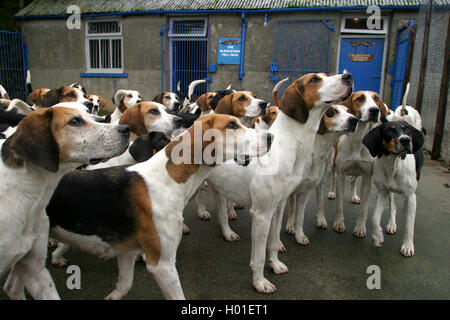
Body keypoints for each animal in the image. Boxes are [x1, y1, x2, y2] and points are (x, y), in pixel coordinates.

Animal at [0, 104, 130, 298]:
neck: (25, 195)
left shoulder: (35, 268)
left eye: (88, 113)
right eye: (75, 121)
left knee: (11, 288)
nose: (126, 128)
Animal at [44, 114, 272, 298]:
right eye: (232, 125)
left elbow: (124, 285)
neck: (167, 179)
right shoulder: (163, 266)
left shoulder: (125, 252)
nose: (270, 137)